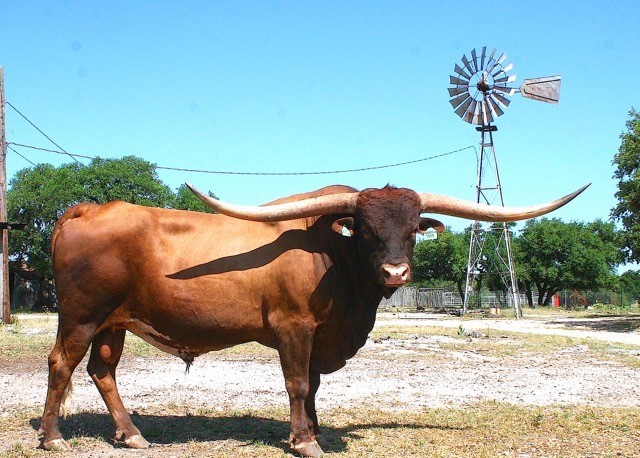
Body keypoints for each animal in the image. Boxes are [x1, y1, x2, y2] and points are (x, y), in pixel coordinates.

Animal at [38, 183, 587, 456]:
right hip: (81, 317)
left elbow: (317, 385)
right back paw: (53, 438)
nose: (395, 271)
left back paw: (131, 434)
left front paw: (316, 431)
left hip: (113, 322)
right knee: (61, 364)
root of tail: (85, 209)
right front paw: (304, 441)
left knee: (102, 371)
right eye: (365, 228)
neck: (336, 260)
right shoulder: (293, 328)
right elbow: (298, 383)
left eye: (413, 229)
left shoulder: (322, 336)